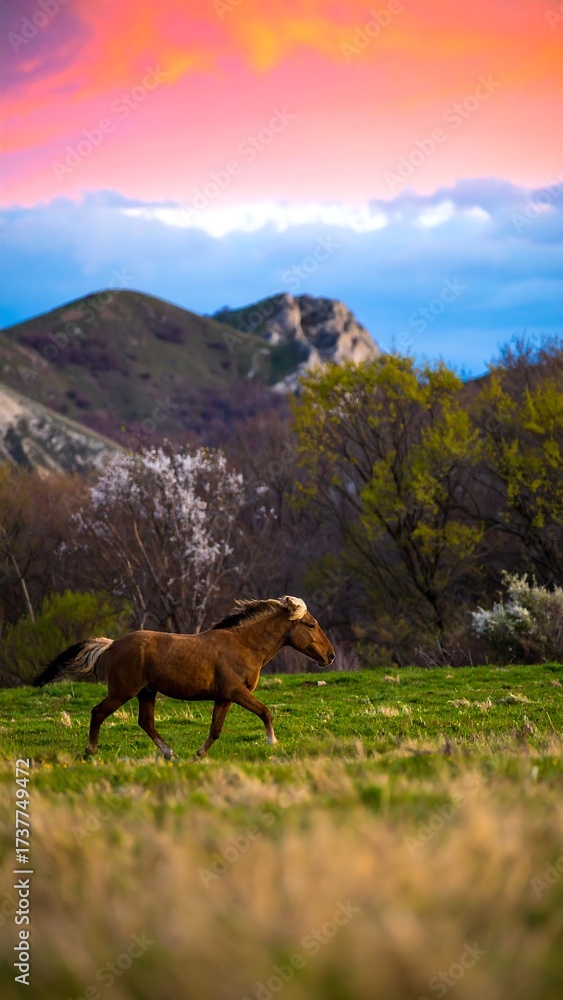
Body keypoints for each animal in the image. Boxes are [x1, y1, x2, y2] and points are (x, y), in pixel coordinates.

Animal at [33, 595, 335, 759]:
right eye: (310, 625)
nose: (330, 656)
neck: (244, 645)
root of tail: (113, 643)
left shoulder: (224, 697)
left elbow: (215, 730)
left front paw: (198, 755)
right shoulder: (237, 692)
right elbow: (266, 712)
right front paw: (273, 743)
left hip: (147, 692)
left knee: (145, 722)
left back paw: (170, 753)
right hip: (122, 691)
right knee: (97, 713)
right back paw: (92, 751)